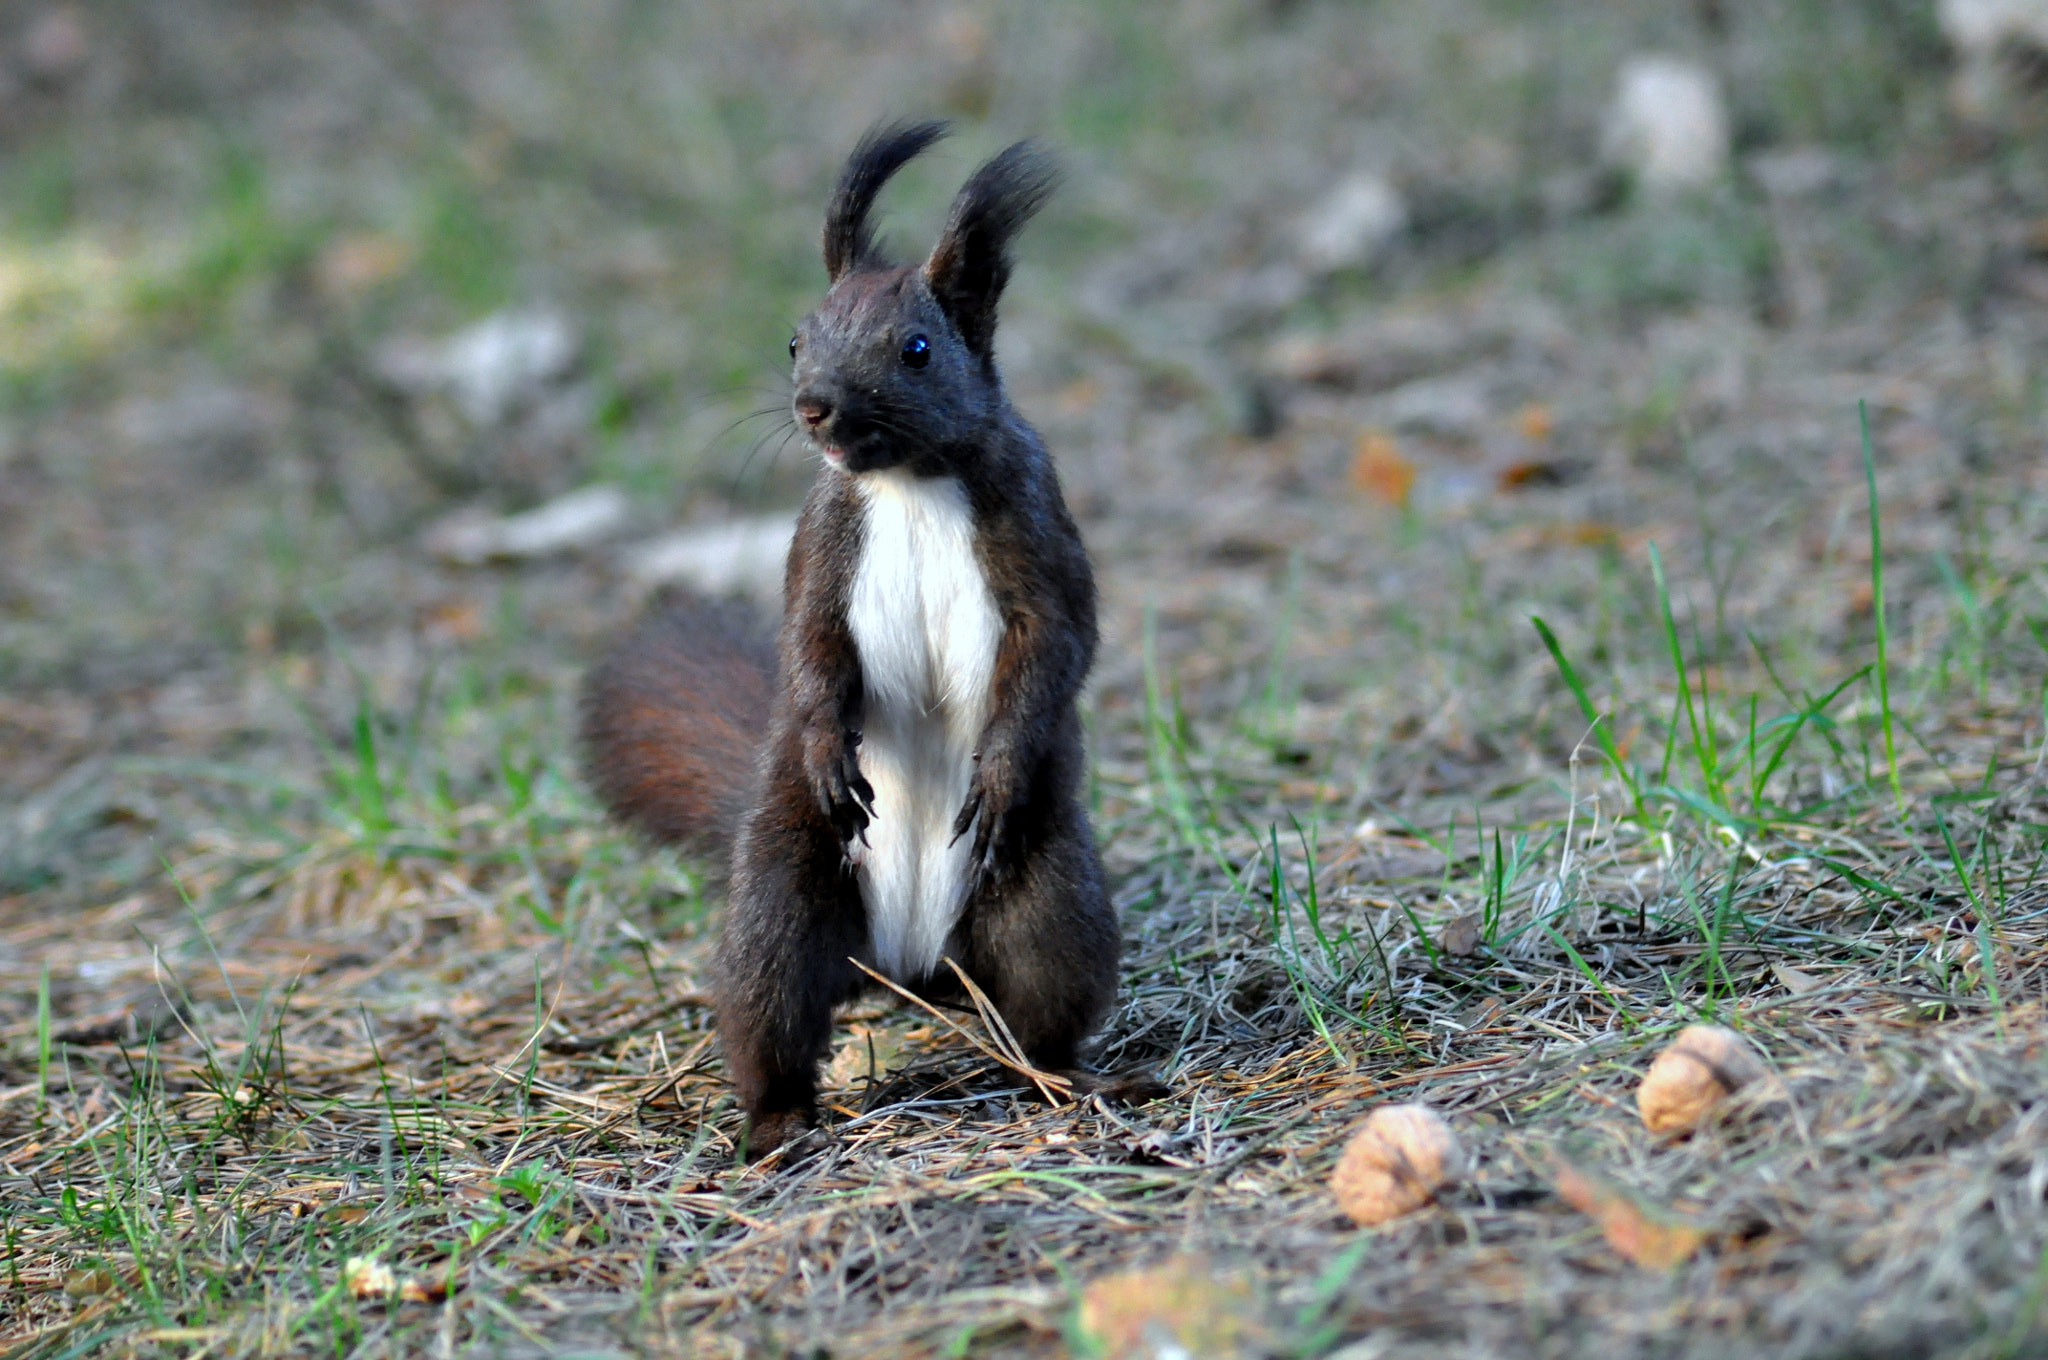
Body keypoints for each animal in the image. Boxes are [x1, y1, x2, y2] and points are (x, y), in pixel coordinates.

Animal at [582, 120, 1145, 1156]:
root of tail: (909, 964)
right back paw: (776, 1124)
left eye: (917, 349)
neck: (907, 480)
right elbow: (808, 652)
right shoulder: (819, 545)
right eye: (795, 337)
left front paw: (1000, 766)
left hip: (1049, 895)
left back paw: (1072, 1077)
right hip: (784, 894)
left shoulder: (1039, 530)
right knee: (770, 1007)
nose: (815, 406)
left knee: (1043, 996)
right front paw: (826, 750)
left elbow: (1056, 645)